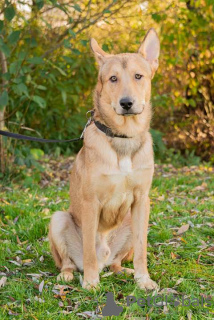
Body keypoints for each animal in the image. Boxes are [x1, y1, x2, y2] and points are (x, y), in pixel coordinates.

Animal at [48, 28, 159, 290]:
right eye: (113, 79)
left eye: (138, 76)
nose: (126, 103)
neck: (122, 137)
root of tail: (105, 260)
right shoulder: (91, 202)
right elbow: (89, 248)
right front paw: (90, 282)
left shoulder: (142, 200)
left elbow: (142, 249)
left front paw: (143, 279)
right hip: (58, 219)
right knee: (69, 261)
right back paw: (69, 275)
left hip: (129, 221)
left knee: (117, 262)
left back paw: (124, 272)